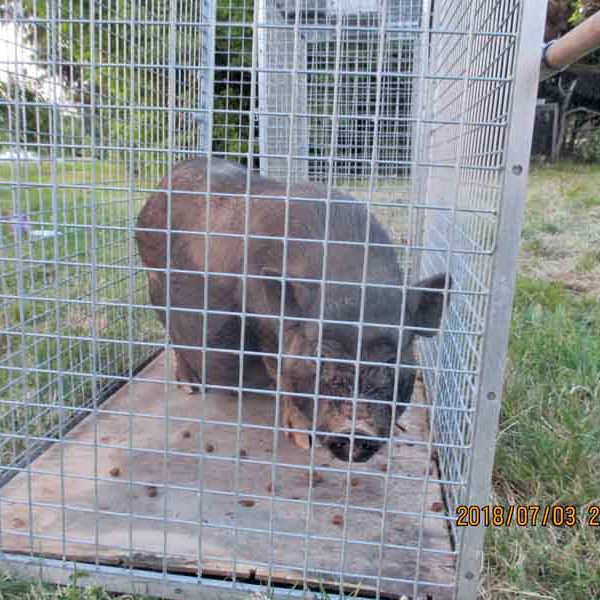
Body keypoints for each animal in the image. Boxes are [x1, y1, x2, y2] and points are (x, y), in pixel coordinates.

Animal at [134, 157, 450, 462]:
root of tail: (157, 190)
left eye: (392, 361)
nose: (356, 430)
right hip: (155, 287)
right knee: (175, 339)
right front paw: (303, 442)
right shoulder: (263, 326)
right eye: (319, 356)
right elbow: (282, 376)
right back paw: (191, 386)